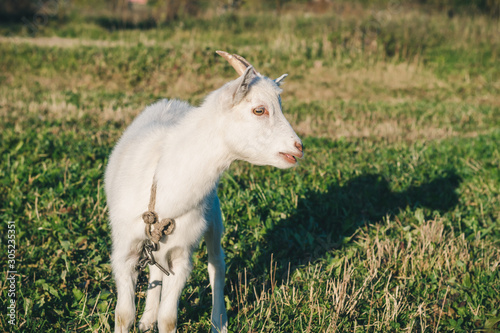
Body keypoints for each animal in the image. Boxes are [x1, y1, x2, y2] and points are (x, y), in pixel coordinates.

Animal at [104, 50, 302, 332]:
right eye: (259, 110)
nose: (298, 147)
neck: (162, 184)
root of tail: (171, 102)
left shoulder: (182, 255)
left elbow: (168, 319)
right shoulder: (124, 250)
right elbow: (123, 314)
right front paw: (141, 318)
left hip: (214, 217)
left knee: (216, 264)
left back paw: (218, 321)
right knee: (157, 270)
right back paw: (147, 319)